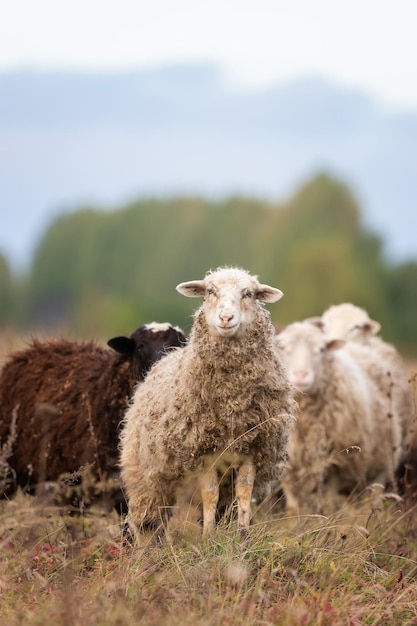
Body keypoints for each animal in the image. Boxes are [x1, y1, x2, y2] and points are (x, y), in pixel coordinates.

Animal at [118, 264, 298, 536]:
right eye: (210, 291)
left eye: (248, 294)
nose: (226, 318)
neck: (232, 400)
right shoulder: (203, 452)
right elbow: (210, 494)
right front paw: (208, 536)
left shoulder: (252, 449)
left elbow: (244, 492)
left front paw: (242, 534)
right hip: (146, 475)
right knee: (144, 521)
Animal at [274, 320, 402, 516]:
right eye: (283, 347)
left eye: (320, 349)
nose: (300, 375)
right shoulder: (289, 467)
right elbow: (294, 508)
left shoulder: (337, 466)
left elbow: (327, 504)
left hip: (376, 470)